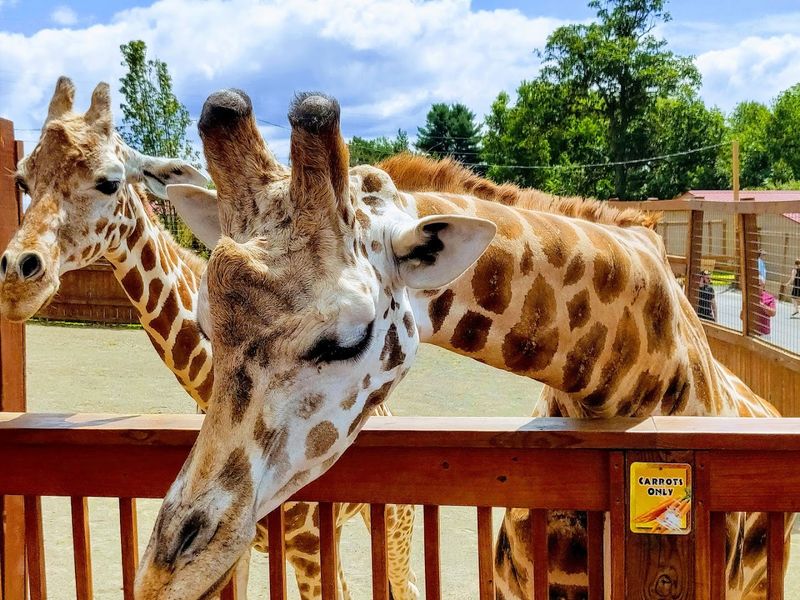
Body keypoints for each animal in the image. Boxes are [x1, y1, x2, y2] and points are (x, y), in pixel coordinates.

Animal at [0, 77, 418, 600]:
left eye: (110, 180)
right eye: (23, 181)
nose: (17, 278)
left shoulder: (307, 544)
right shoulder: (239, 552)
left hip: (393, 524)